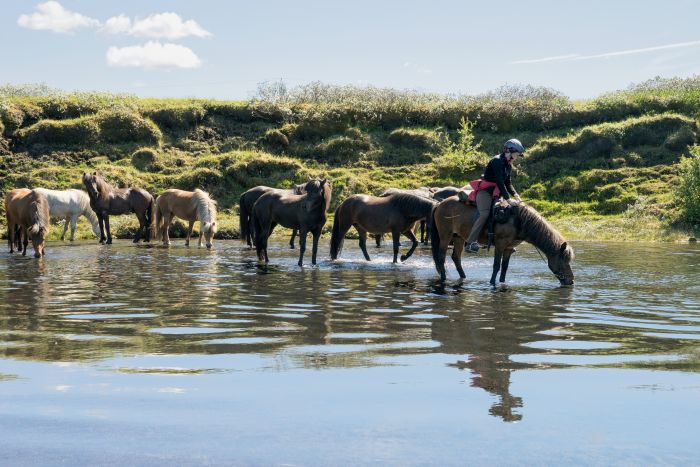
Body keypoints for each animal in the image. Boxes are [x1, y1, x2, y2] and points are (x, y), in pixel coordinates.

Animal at [430, 197, 576, 288]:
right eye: (564, 260)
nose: (571, 281)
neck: (519, 221)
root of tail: (439, 204)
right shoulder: (500, 245)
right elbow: (496, 265)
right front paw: (492, 283)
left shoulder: (508, 249)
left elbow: (504, 267)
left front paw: (502, 282)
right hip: (445, 236)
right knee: (441, 257)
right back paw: (444, 279)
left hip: (458, 237)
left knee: (456, 257)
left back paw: (463, 277)